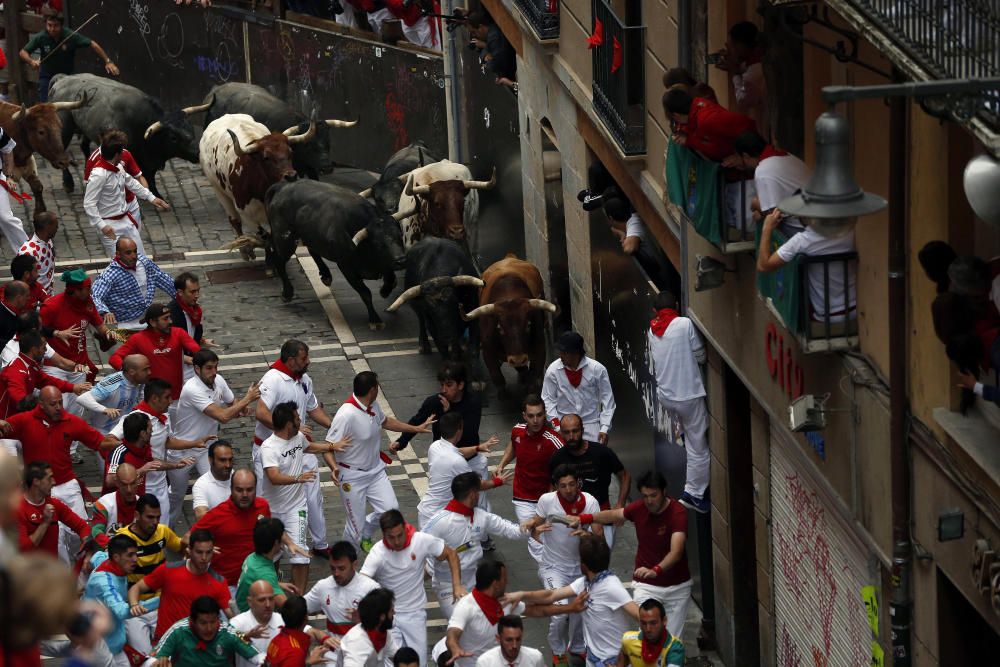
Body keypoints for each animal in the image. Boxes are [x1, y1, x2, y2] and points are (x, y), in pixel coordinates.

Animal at [460, 253, 556, 394]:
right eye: (499, 328)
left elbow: (535, 378)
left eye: (528, 325)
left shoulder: (539, 348)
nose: (518, 359)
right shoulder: (488, 352)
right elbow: (498, 378)